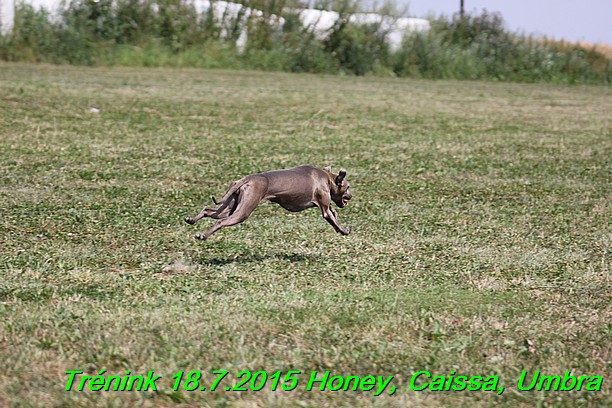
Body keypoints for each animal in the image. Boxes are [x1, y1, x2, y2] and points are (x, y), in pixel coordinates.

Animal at [184, 165, 352, 241]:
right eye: (348, 187)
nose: (350, 196)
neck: (327, 177)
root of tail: (246, 179)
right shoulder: (324, 207)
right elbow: (332, 217)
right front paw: (344, 230)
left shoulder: (327, 205)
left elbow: (334, 214)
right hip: (244, 210)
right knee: (220, 222)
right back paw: (202, 235)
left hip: (231, 205)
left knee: (208, 210)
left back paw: (190, 219)